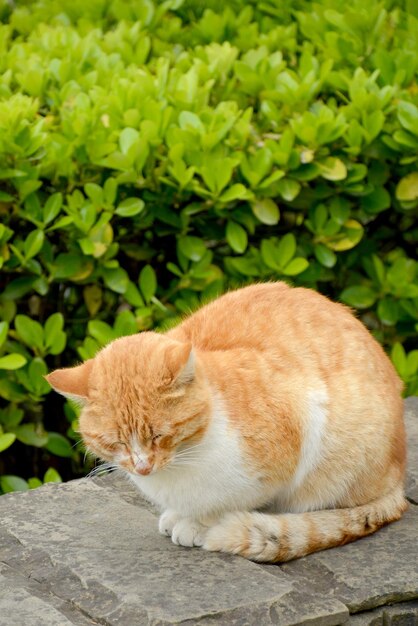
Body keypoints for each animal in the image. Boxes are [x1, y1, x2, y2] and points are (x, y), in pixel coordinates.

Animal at [47, 282, 406, 560]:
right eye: (117, 443)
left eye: (159, 436)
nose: (142, 467)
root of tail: (399, 482)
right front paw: (180, 515)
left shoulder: (296, 433)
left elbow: (228, 504)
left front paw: (198, 525)